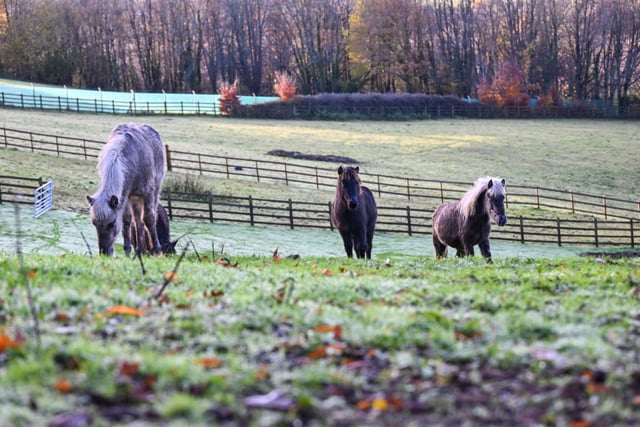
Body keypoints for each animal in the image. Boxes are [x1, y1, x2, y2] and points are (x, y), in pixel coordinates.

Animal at [87, 124, 166, 256]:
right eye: (94, 223)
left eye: (111, 224)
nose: (104, 252)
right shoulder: (126, 196)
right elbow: (127, 220)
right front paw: (127, 251)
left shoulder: (148, 192)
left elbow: (149, 218)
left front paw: (157, 250)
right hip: (135, 198)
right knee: (138, 222)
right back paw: (140, 250)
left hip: (154, 192)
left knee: (148, 217)